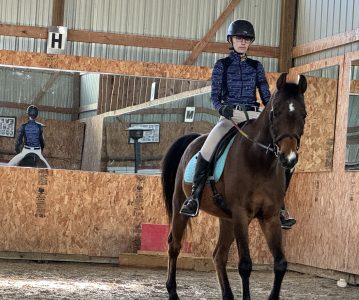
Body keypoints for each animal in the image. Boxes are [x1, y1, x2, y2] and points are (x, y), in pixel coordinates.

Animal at [162, 73, 308, 300]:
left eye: (304, 114)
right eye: (275, 113)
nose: (289, 158)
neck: (260, 161)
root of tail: (194, 140)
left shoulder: (270, 217)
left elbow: (281, 263)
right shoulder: (241, 214)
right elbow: (245, 265)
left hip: (227, 219)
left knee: (219, 255)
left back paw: (227, 295)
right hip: (181, 207)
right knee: (174, 246)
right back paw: (172, 291)